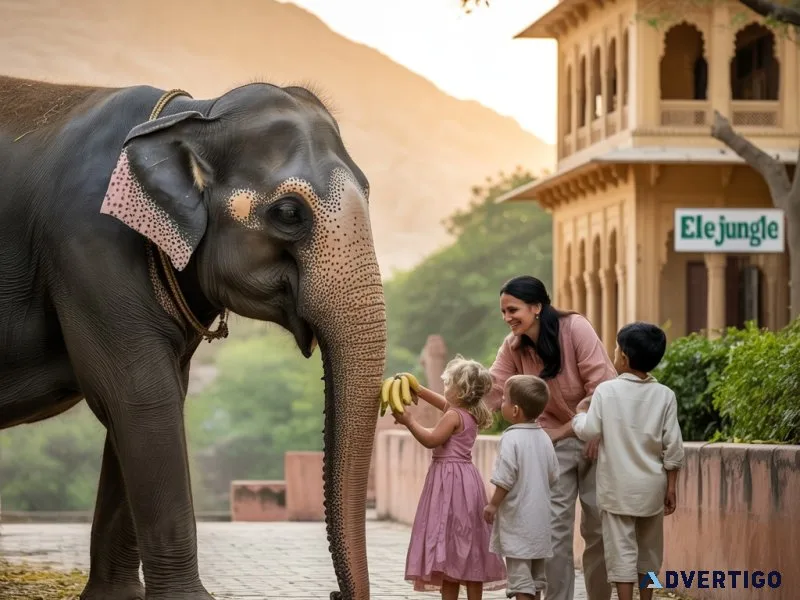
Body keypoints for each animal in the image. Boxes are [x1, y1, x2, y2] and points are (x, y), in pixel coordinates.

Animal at [0, 75, 386, 600]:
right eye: (289, 213)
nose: (334, 593)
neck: (193, 114)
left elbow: (147, 402)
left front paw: (115, 599)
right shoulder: (89, 244)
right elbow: (141, 397)